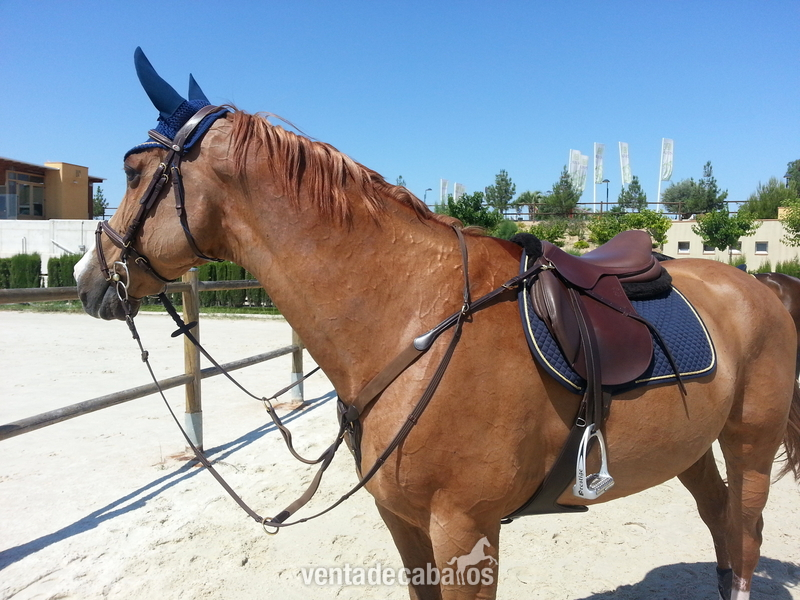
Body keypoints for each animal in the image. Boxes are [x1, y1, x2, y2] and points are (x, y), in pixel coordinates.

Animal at [74, 49, 800, 600]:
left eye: (134, 172)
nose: (87, 278)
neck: (409, 320)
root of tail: (758, 285)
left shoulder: (465, 529)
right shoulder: (405, 523)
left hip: (750, 442)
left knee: (745, 530)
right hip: (691, 447)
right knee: (719, 522)